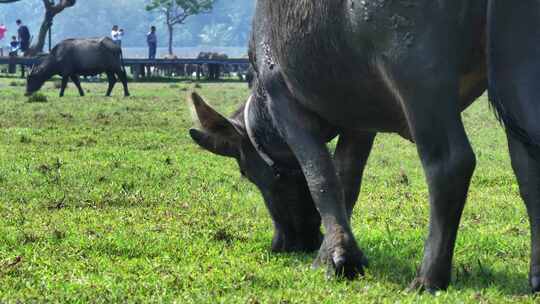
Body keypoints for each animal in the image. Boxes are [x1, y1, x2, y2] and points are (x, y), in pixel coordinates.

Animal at [190, 0, 540, 294]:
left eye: (247, 173)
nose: (287, 242)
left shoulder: (285, 103)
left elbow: (321, 177)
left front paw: (337, 259)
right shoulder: (360, 123)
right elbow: (346, 181)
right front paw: (336, 252)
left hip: (419, 79)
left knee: (450, 163)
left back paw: (427, 278)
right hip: (519, 68)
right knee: (529, 165)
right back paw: (535, 277)